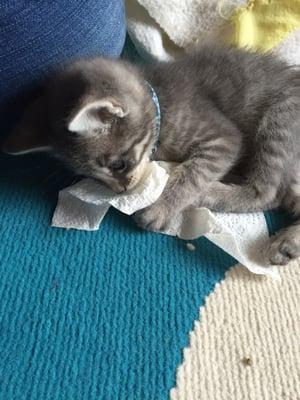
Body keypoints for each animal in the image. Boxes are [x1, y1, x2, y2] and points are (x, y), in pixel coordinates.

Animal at [3, 46, 300, 266]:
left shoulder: (222, 137)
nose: (121, 190)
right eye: (92, 178)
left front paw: (161, 207)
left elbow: (193, 174)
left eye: (118, 165)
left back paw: (210, 193)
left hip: (279, 121)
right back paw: (289, 242)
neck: (160, 105)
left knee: (267, 193)